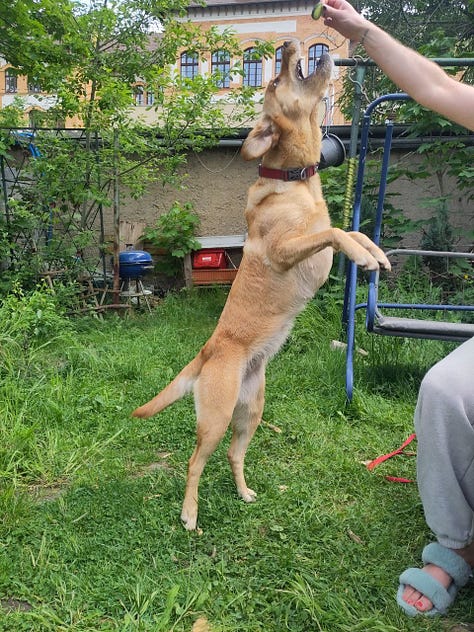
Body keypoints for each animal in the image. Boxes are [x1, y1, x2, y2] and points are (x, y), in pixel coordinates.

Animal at [131, 42, 390, 532]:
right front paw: (364, 256)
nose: (288, 46)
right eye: (273, 80)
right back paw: (189, 514)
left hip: (251, 412)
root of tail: (208, 352)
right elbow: (336, 233)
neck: (294, 181)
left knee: (234, 455)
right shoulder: (286, 249)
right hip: (214, 419)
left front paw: (376, 254)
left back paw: (243, 492)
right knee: (194, 462)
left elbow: (352, 231)